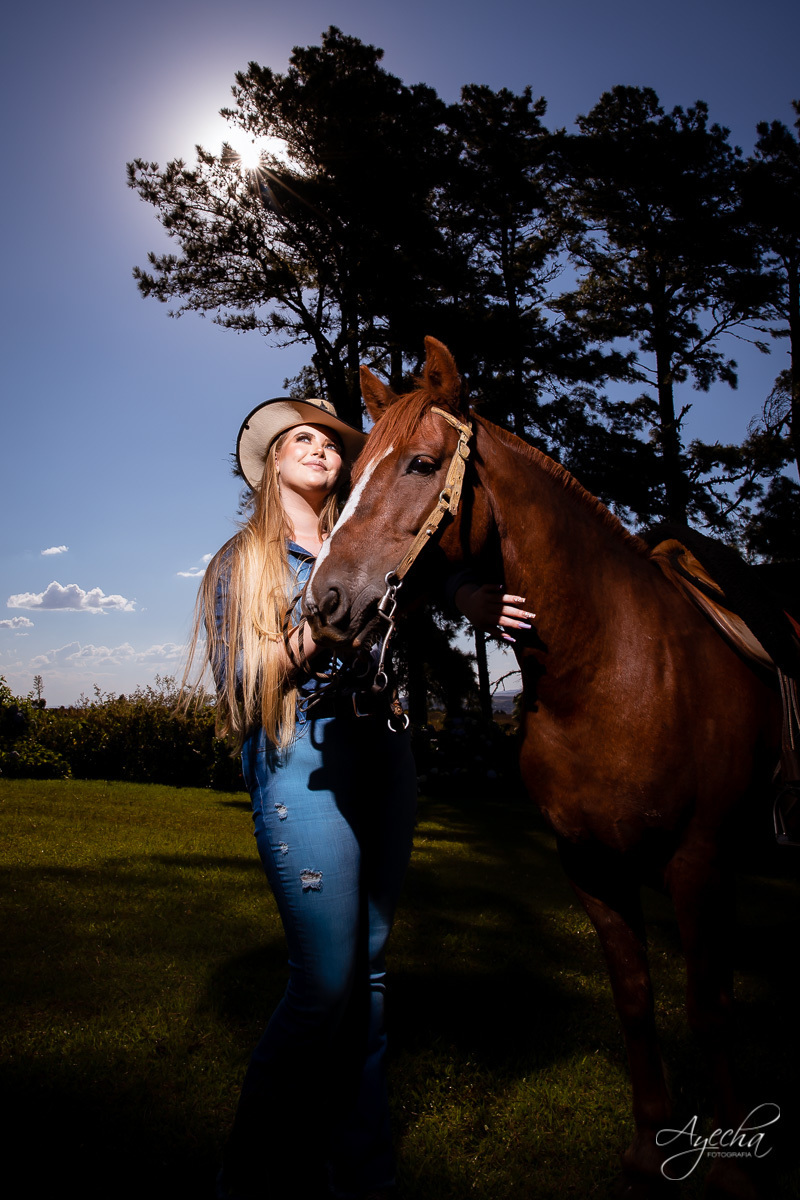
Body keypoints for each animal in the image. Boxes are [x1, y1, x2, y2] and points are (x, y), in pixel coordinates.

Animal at [305, 337, 784, 1199]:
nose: (325, 601)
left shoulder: (700, 862)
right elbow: (636, 997)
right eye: (350, 475)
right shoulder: (590, 862)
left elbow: (709, 1007)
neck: (612, 666)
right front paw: (651, 1145)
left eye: (421, 464)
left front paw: (734, 1168)